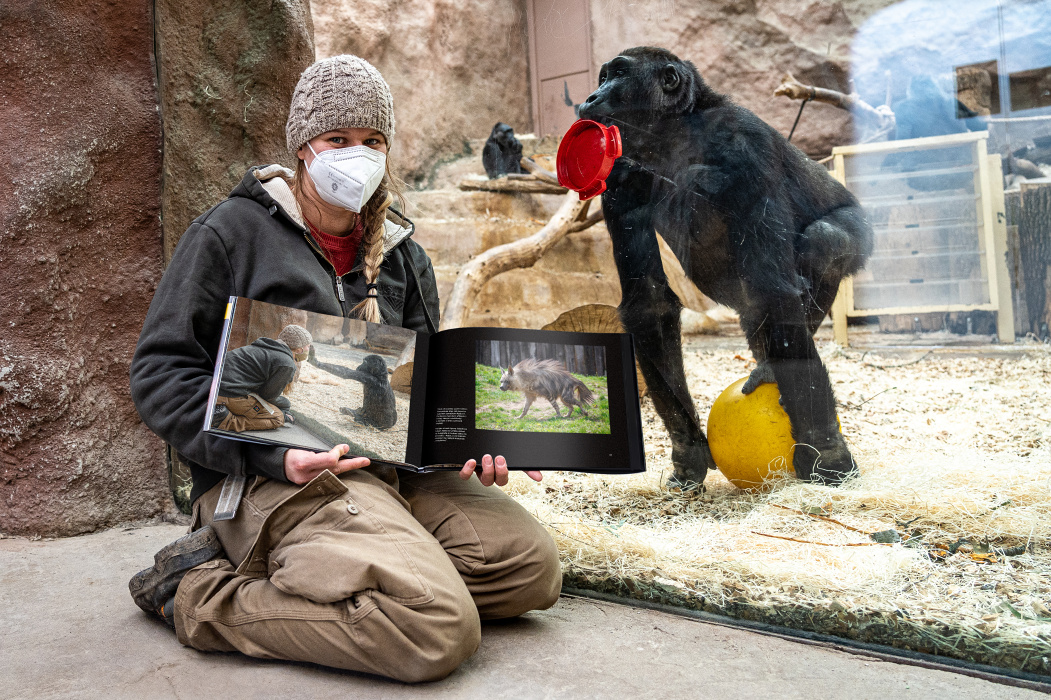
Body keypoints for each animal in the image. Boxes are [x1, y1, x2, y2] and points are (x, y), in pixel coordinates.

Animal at [580, 47, 874, 485]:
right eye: (602, 77)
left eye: (617, 75)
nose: (591, 96)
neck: (675, 133)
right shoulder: (619, 177)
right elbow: (650, 303)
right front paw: (687, 448)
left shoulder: (745, 147)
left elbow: (774, 287)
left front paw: (828, 453)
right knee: (756, 309)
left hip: (863, 231)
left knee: (824, 241)